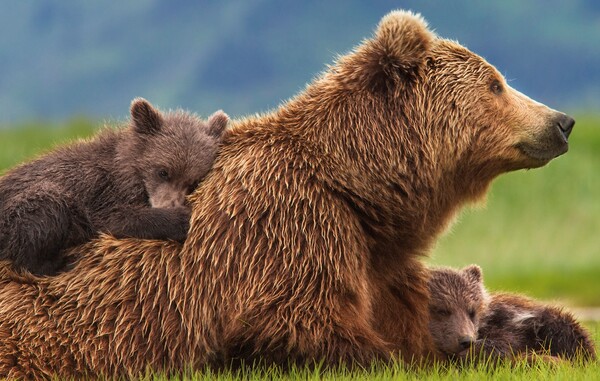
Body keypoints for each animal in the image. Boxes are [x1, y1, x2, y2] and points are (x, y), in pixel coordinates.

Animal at [0, 10, 576, 378]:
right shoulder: (293, 231)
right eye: (496, 83)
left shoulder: (373, 259)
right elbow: (313, 330)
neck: (358, 187)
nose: (563, 121)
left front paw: (534, 343)